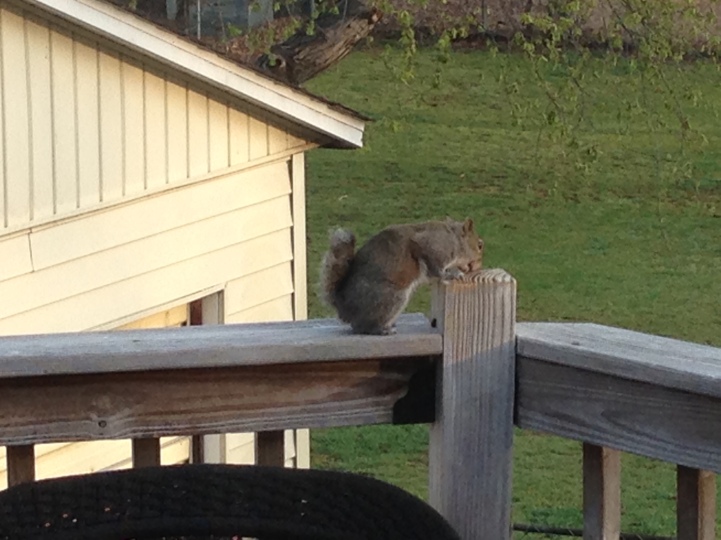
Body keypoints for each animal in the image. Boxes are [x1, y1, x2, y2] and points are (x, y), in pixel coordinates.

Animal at [321, 218, 484, 335]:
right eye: (480, 245)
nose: (479, 265)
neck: (454, 239)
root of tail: (343, 306)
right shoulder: (431, 246)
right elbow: (435, 269)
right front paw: (453, 273)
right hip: (390, 298)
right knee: (362, 327)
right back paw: (381, 330)